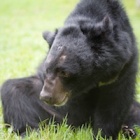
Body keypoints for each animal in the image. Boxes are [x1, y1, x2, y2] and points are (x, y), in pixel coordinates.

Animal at [0, 0, 139, 138]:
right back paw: (30, 132)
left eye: (64, 72)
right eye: (47, 70)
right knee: (12, 90)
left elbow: (114, 102)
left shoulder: (123, 66)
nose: (46, 96)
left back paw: (128, 130)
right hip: (57, 115)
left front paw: (102, 135)